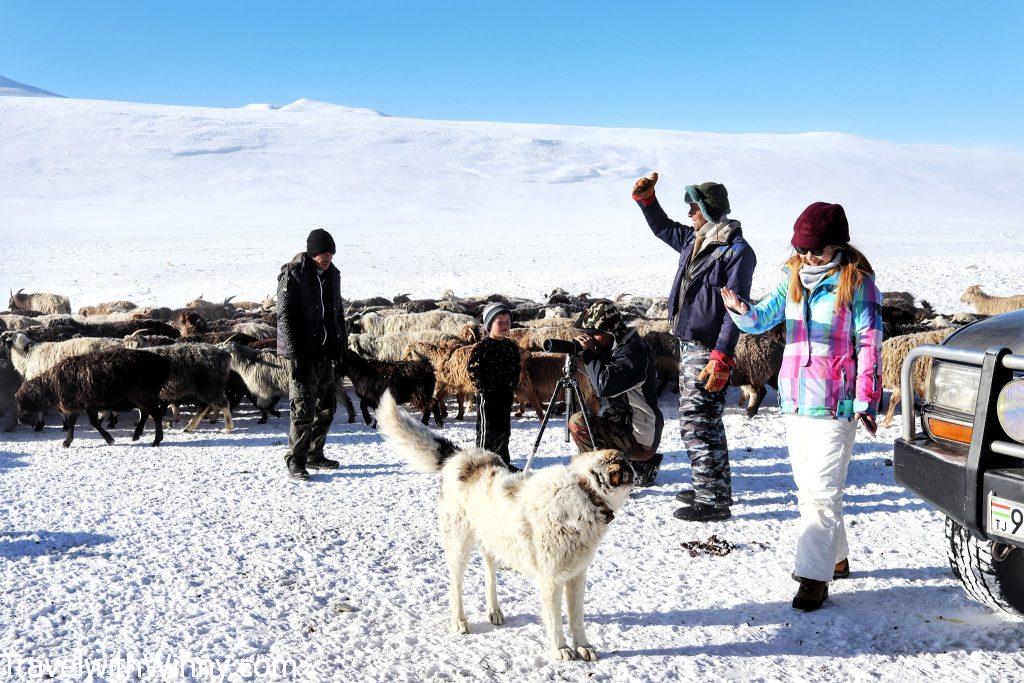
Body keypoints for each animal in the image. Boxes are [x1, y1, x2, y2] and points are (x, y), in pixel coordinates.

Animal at [376, 389, 630, 663]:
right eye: (628, 466)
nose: (641, 470)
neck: (585, 493)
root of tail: (459, 455)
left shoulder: (576, 577)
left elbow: (577, 619)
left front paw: (583, 646)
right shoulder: (551, 581)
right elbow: (555, 622)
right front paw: (561, 649)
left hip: (494, 540)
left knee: (489, 573)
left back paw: (494, 611)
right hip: (459, 546)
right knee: (456, 585)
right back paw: (459, 621)